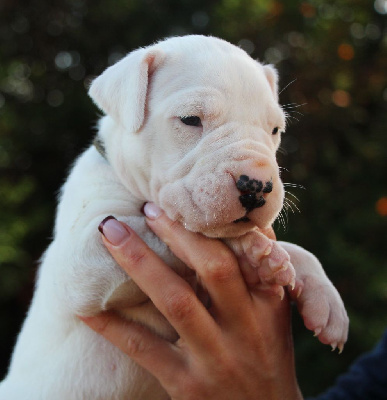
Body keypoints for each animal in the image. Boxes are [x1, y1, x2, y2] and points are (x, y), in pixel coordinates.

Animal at [0, 35, 350, 400]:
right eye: (190, 119)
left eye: (275, 130)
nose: (257, 186)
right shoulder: (84, 258)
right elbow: (187, 235)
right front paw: (255, 252)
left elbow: (297, 250)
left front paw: (325, 298)